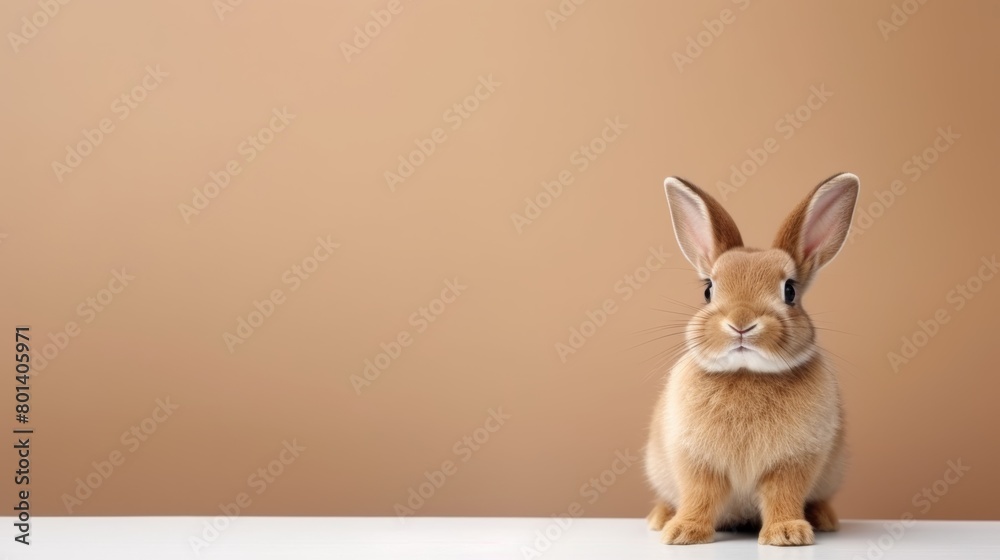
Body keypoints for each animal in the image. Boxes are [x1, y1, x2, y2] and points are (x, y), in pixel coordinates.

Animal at [643, 172, 859, 546]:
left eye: (790, 291)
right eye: (708, 290)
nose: (741, 322)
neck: (747, 373)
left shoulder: (792, 463)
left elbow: (783, 495)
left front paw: (787, 534)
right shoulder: (697, 461)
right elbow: (699, 495)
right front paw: (684, 533)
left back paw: (823, 519)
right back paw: (660, 518)